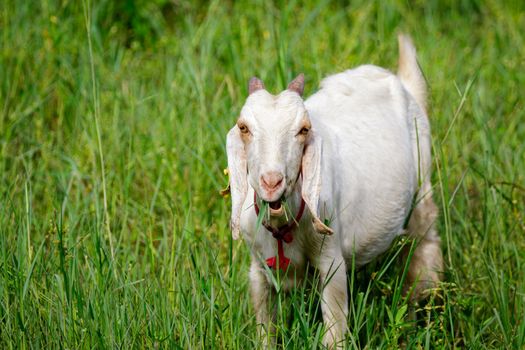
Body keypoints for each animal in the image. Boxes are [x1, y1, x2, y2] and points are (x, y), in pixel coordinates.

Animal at [225, 34, 442, 346]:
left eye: (303, 129)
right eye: (243, 127)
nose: (271, 182)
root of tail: (401, 81)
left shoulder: (332, 262)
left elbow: (334, 331)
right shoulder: (258, 268)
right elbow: (265, 329)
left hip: (422, 184)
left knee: (422, 252)